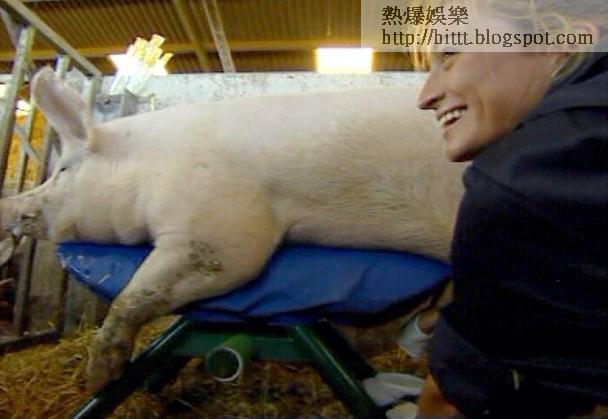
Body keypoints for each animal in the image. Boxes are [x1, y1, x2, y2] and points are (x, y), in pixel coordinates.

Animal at [0, 67, 465, 391]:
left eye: (62, 170)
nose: (10, 206)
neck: (146, 167)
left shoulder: (221, 228)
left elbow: (136, 295)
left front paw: (98, 379)